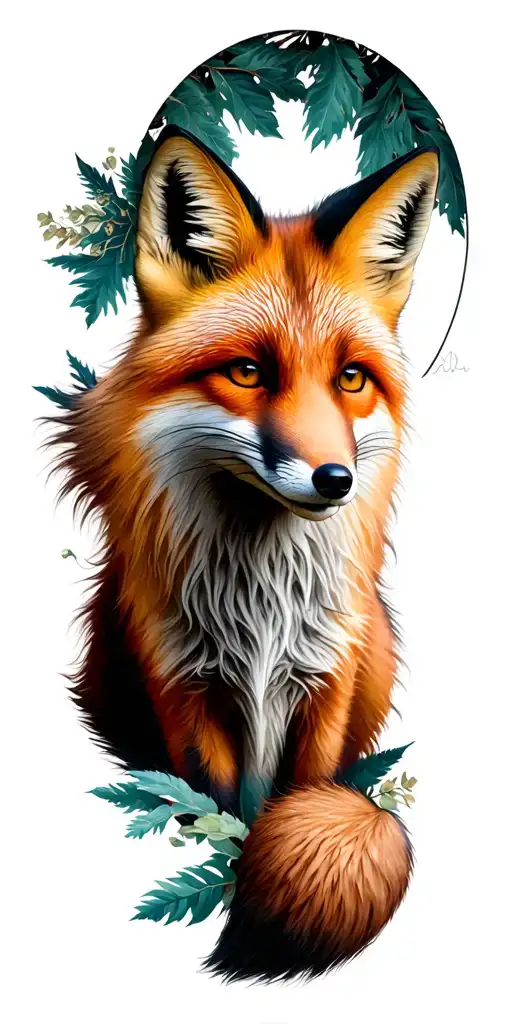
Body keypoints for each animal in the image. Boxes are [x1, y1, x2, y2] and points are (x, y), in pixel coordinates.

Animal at [48, 124, 439, 982]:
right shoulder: (184, 687)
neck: (259, 611)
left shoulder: (327, 683)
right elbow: (219, 807)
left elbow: (305, 794)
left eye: (351, 378)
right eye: (248, 372)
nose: (335, 480)